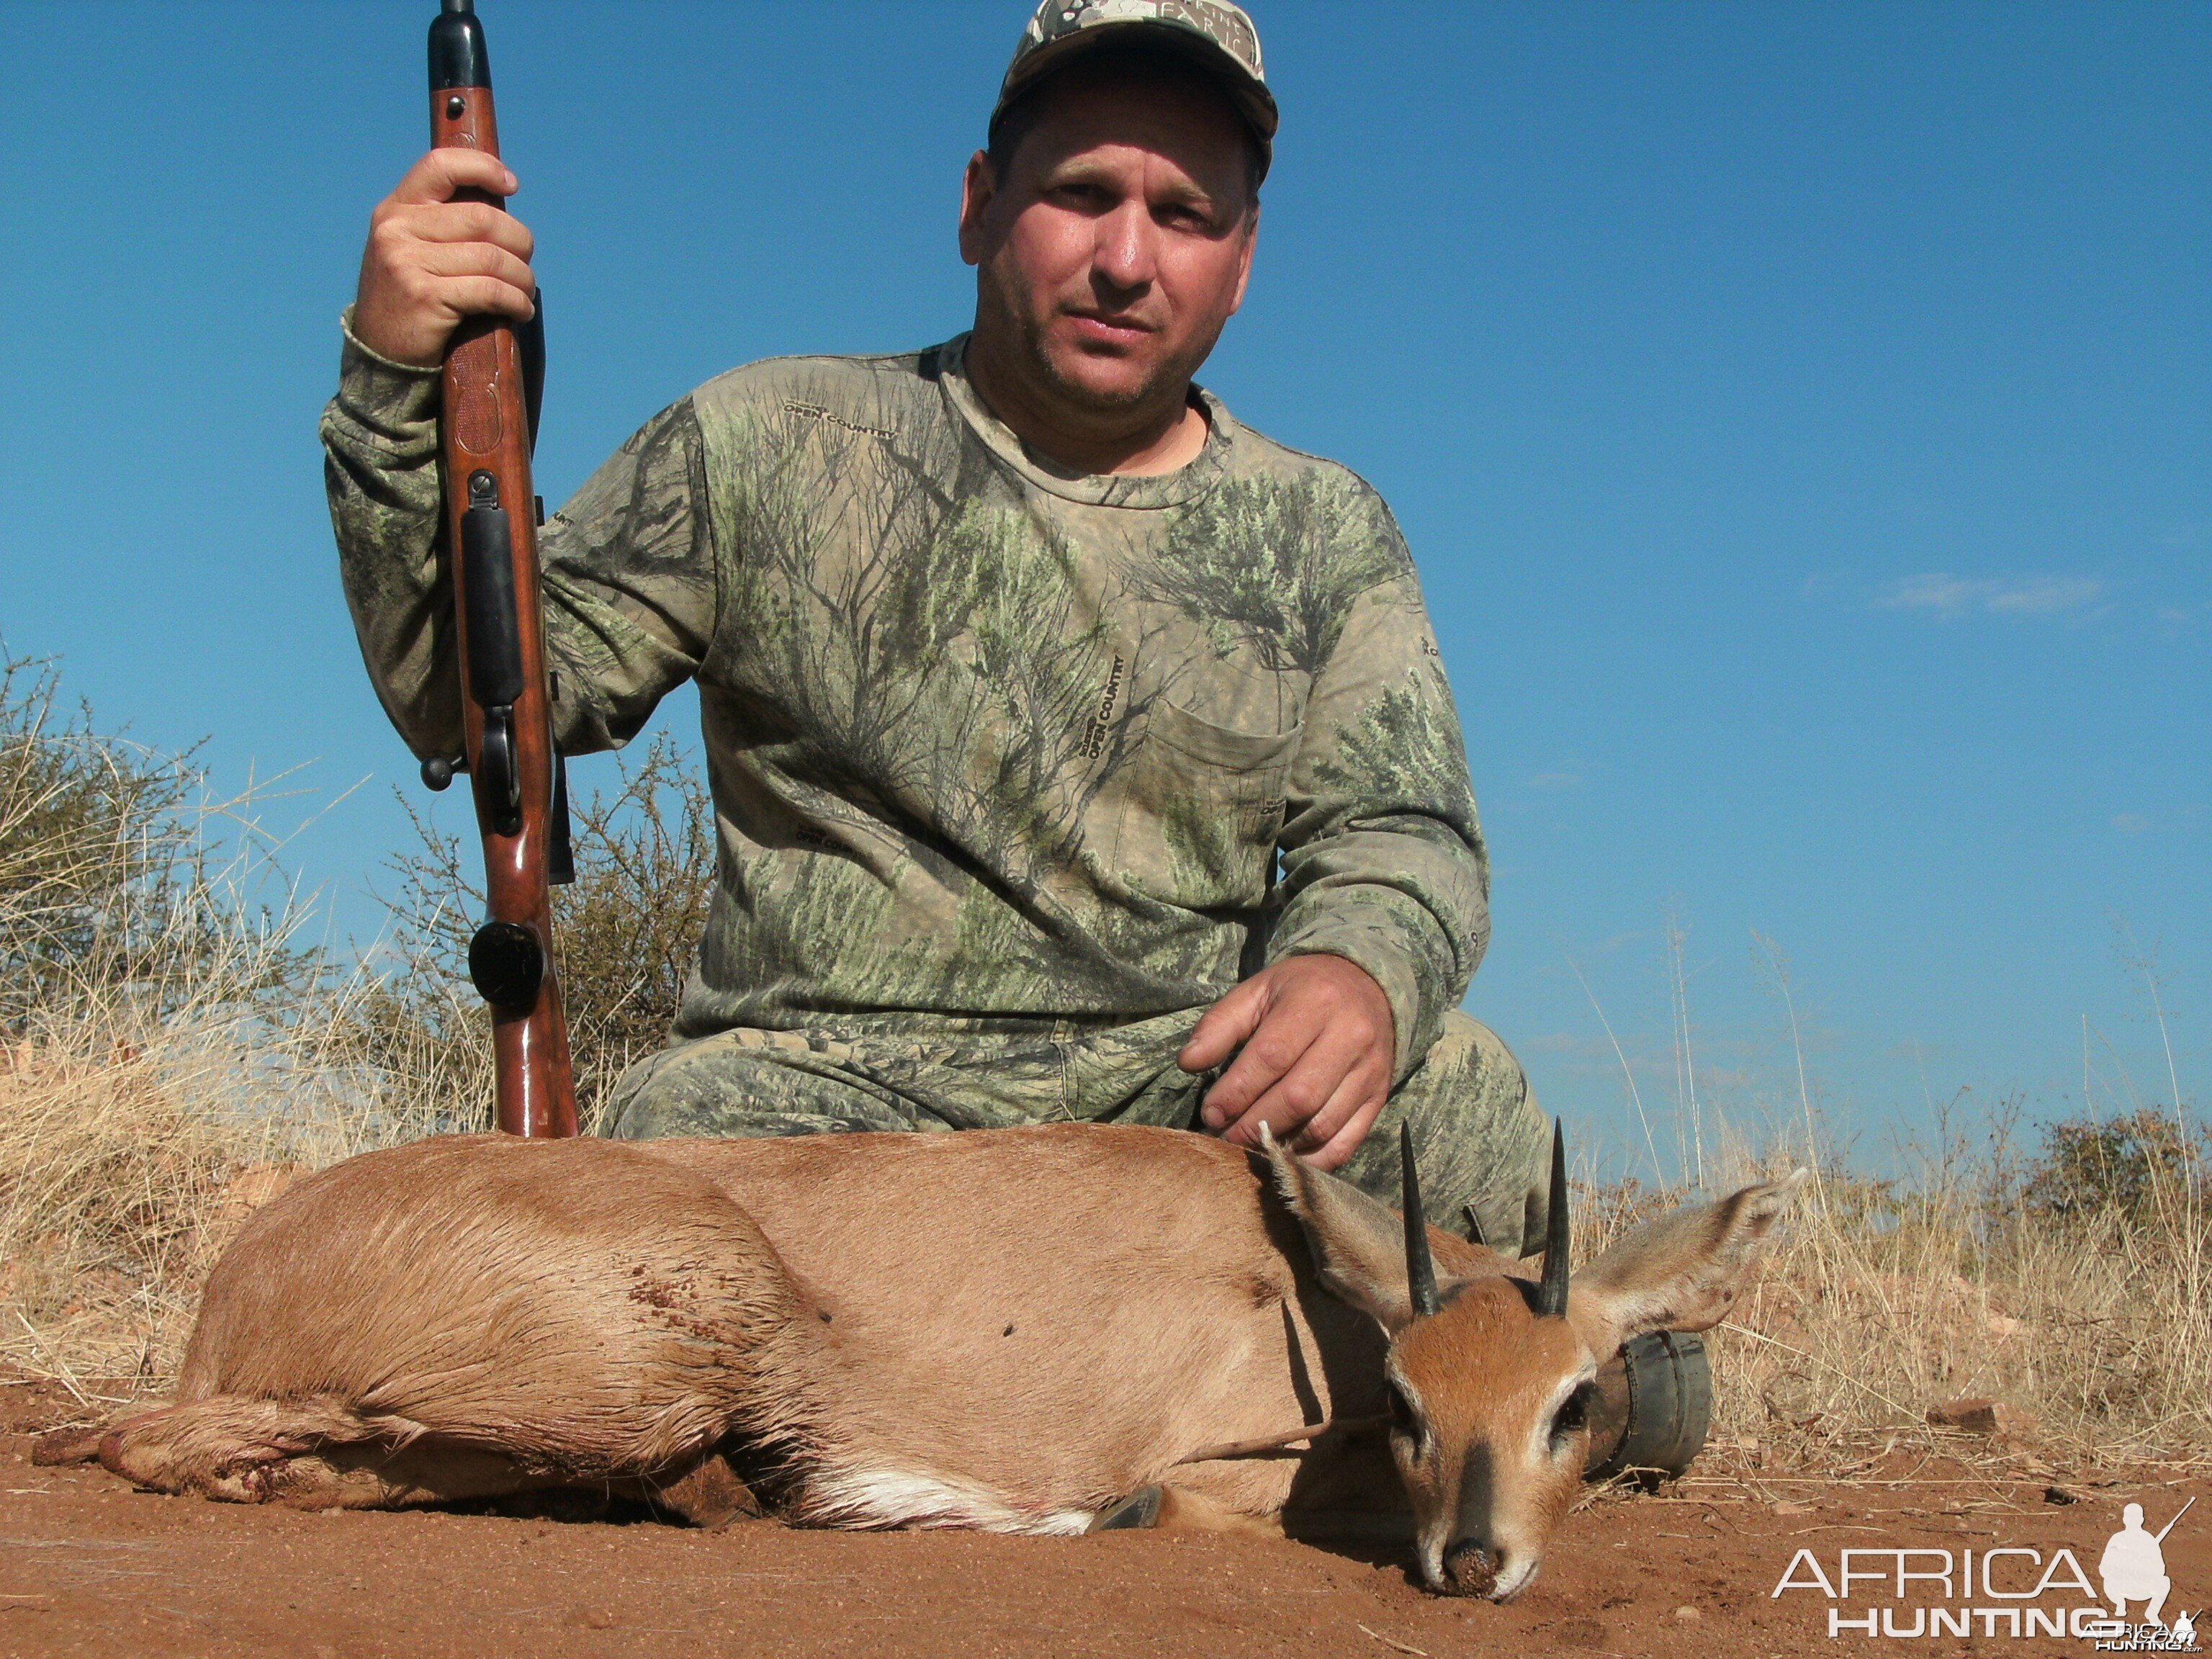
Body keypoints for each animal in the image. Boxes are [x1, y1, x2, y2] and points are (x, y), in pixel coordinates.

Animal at [95, 1119, 1804, 1601]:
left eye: (1575, 1401)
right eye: (1405, 1401)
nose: (1474, 1562)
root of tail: (244, 1273)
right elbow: (1187, 1501)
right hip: (670, 1347)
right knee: (170, 1447)